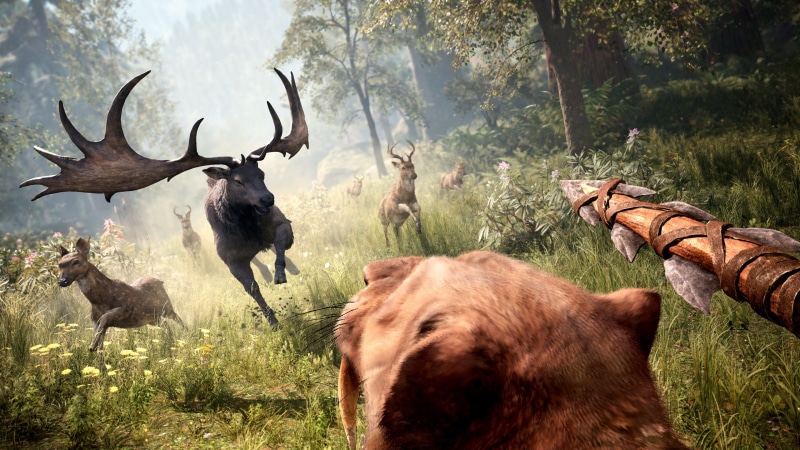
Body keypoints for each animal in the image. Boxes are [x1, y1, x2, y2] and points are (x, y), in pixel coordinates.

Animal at [20, 68, 309, 329]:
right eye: (238, 181)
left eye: (262, 173)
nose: (267, 199)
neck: (248, 229)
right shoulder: (230, 258)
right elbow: (253, 289)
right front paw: (274, 321)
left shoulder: (283, 223)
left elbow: (281, 243)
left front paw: (282, 274)